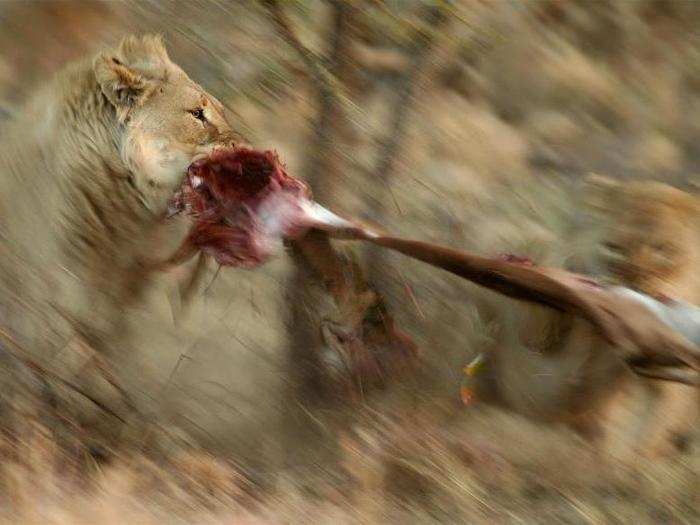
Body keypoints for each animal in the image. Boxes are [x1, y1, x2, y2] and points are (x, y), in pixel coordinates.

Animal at [468, 175, 696, 458]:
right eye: (614, 248)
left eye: (662, 249)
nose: (633, 282)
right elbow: (537, 329)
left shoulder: (668, 379)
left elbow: (649, 430)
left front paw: (625, 465)